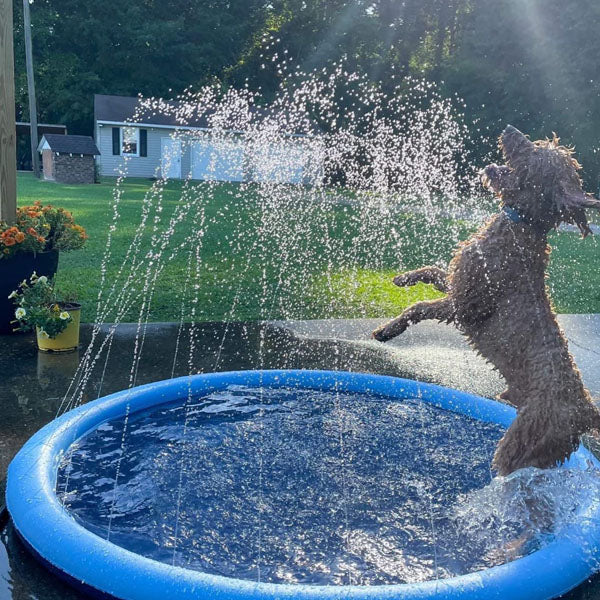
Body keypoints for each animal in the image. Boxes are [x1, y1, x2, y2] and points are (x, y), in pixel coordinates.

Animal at [372, 125, 600, 474]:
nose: (509, 129)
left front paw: (388, 329)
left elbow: (418, 308)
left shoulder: (463, 307)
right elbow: (433, 271)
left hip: (523, 444)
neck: (520, 225)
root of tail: (587, 409)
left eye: (535, 151)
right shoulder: (458, 282)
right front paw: (404, 278)